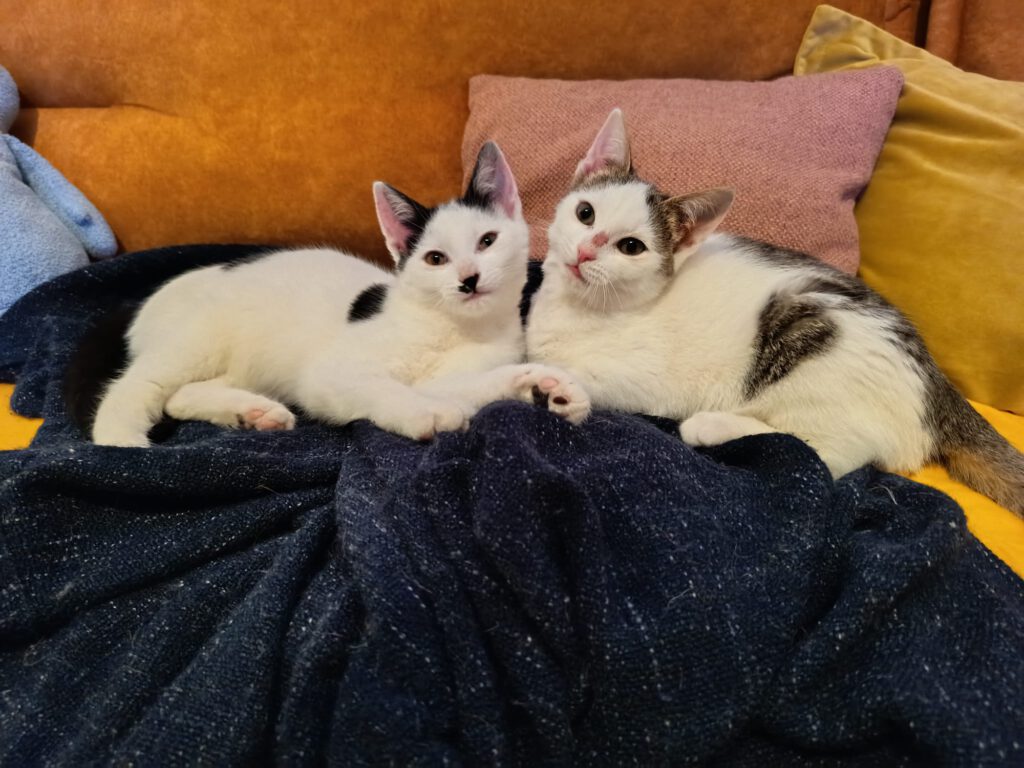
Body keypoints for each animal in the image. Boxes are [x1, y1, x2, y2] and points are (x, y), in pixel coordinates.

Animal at [68, 142, 590, 447]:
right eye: (435, 259)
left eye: (487, 241)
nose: (468, 279)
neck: (456, 328)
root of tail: (141, 303)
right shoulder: (327, 376)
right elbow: (381, 387)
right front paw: (424, 412)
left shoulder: (461, 372)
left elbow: (475, 386)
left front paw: (545, 386)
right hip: (197, 338)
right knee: (140, 384)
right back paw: (121, 440)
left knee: (180, 397)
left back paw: (252, 413)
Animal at [525, 108, 1024, 515]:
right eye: (585, 213)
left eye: (631, 247)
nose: (585, 252)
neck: (585, 308)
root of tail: (936, 383)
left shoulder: (649, 379)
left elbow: (596, 378)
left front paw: (563, 388)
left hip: (807, 331)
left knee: (824, 453)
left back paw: (711, 426)